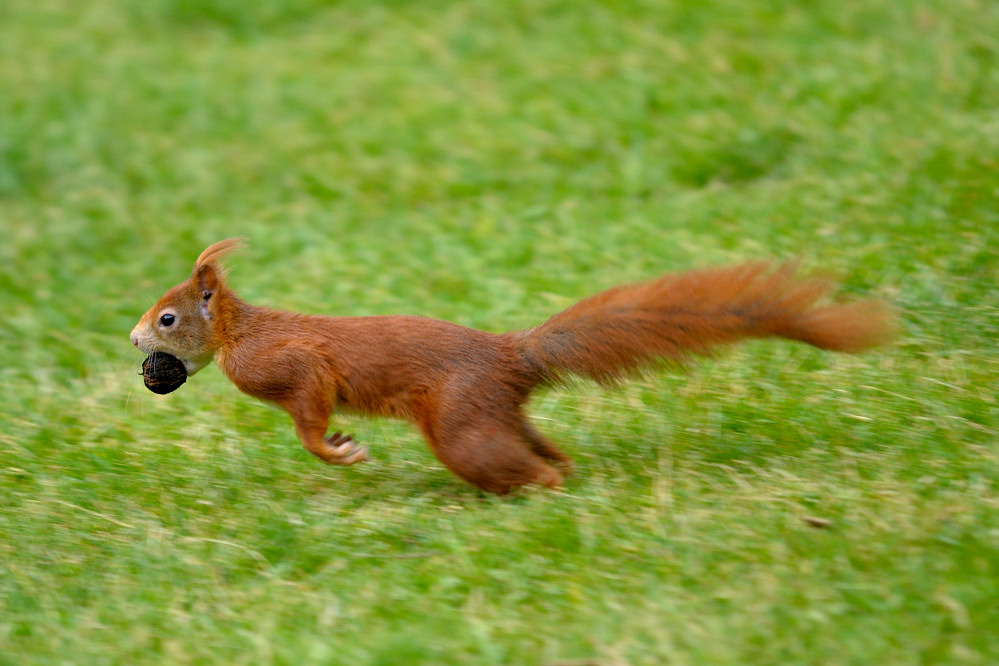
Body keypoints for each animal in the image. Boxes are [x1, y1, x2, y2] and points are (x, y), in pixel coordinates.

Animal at [131, 239, 900, 492]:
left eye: (168, 318)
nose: (136, 342)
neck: (239, 333)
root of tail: (509, 356)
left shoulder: (292, 367)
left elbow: (311, 420)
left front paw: (341, 451)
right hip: (492, 416)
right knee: (542, 447)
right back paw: (563, 469)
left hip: (463, 430)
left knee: (525, 468)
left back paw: (546, 491)